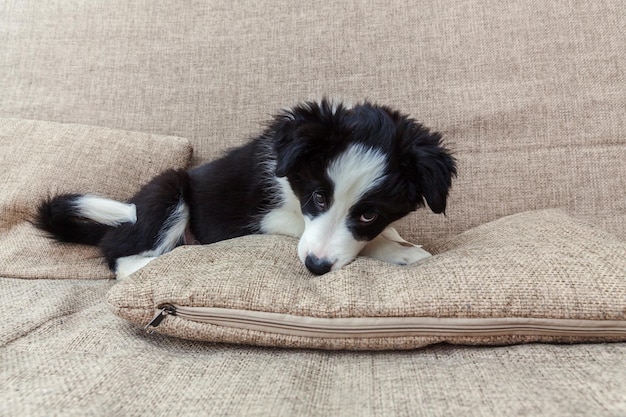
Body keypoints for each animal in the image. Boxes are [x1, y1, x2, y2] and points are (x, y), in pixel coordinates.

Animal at [36, 99, 456, 278]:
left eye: (369, 212)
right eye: (318, 197)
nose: (315, 267)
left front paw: (397, 240)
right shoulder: (267, 217)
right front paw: (402, 252)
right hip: (167, 189)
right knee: (123, 260)